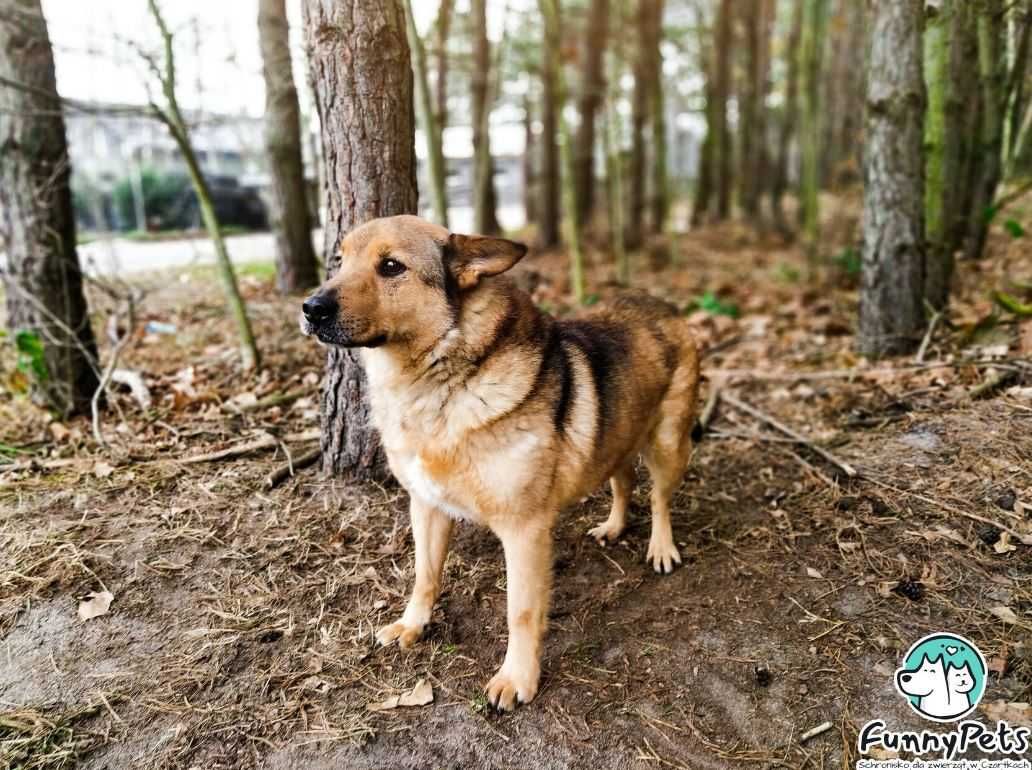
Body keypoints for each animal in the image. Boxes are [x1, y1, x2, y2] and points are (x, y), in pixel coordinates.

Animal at [299, 214, 701, 706]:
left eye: (391, 267)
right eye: (340, 260)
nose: (310, 308)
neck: (439, 379)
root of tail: (656, 300)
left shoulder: (523, 531)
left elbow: (521, 611)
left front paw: (517, 678)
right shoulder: (426, 507)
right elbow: (424, 576)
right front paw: (414, 625)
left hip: (667, 444)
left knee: (660, 499)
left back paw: (661, 547)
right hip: (616, 438)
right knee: (623, 480)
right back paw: (614, 525)